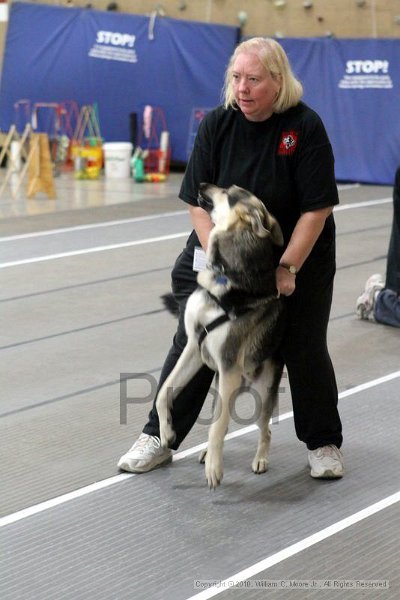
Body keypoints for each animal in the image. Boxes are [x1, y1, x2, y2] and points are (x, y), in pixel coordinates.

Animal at [155, 183, 284, 488]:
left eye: (230, 192)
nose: (200, 184)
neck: (225, 277)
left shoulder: (228, 364)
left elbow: (217, 427)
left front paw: (215, 469)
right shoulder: (194, 347)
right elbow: (163, 391)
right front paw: (166, 432)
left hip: (259, 393)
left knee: (263, 430)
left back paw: (259, 459)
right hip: (222, 388)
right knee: (221, 421)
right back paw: (206, 452)